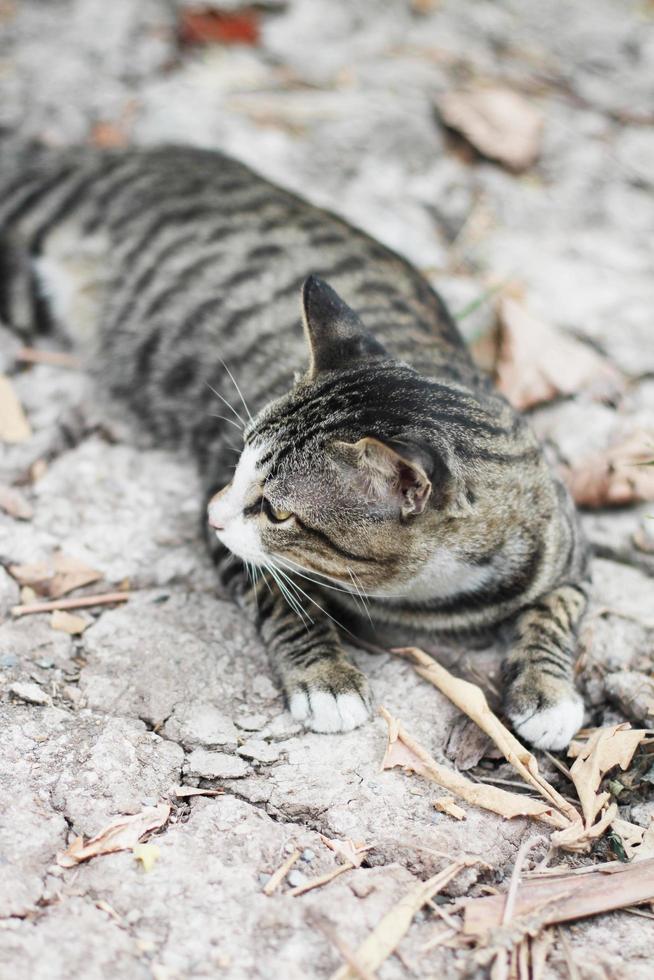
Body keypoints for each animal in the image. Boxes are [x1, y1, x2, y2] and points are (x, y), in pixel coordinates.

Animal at [0, 140, 592, 752]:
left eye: (277, 512)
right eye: (237, 465)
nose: (212, 511)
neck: (427, 597)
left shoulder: (569, 547)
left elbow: (558, 609)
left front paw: (549, 690)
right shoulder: (233, 539)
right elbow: (285, 600)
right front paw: (327, 676)